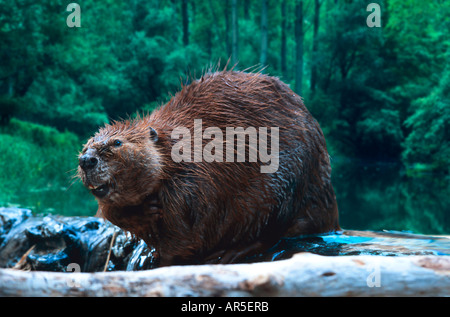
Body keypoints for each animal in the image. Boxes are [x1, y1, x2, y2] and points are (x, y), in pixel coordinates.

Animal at [79, 71, 340, 264]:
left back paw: (229, 253)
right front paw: (144, 213)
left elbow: (186, 236)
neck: (176, 147)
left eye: (117, 143)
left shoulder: (193, 181)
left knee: (272, 229)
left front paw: (161, 258)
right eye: (86, 145)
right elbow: (111, 212)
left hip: (287, 183)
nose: (86, 160)